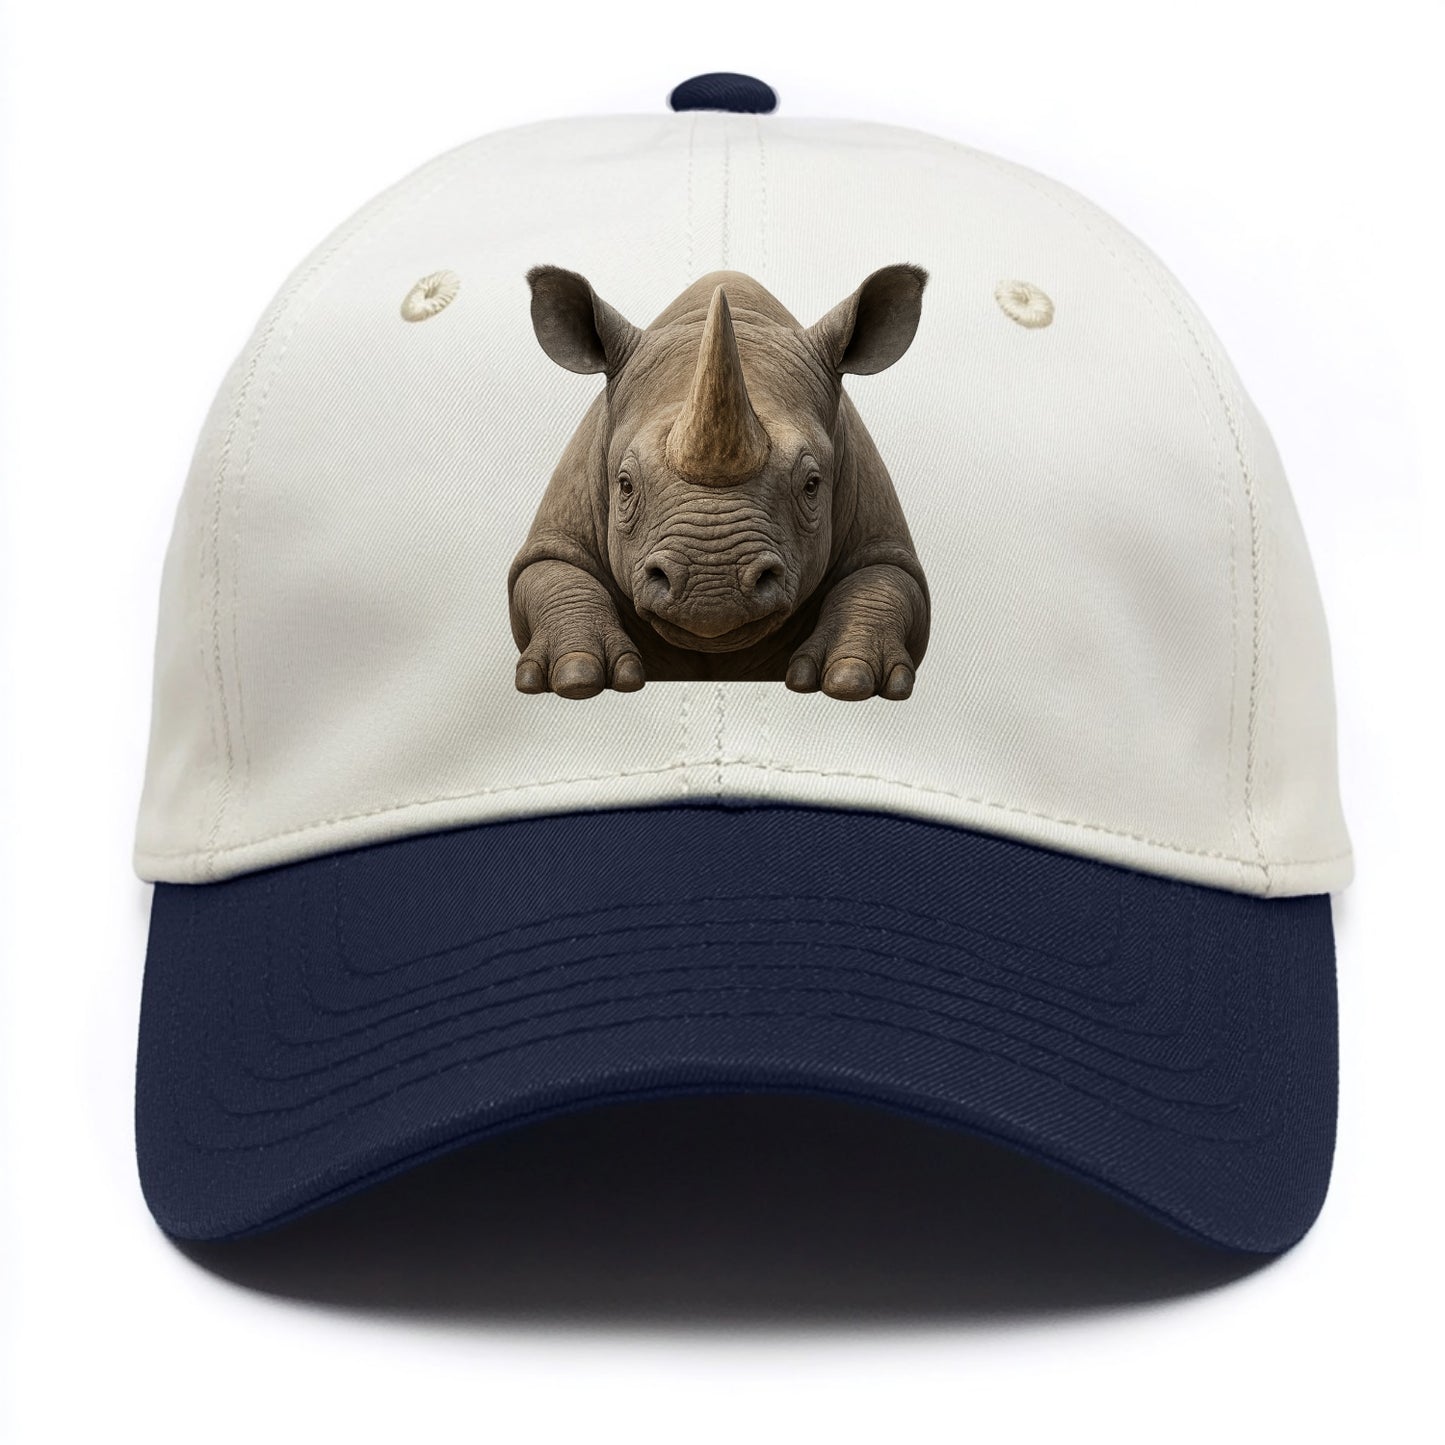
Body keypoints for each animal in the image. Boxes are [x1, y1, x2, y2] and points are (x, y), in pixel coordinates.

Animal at [508, 263, 931, 701]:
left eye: (812, 485)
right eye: (625, 485)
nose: (712, 589)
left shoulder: (880, 533)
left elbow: (884, 580)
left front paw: (851, 680)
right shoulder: (559, 529)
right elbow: (551, 572)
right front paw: (576, 677)